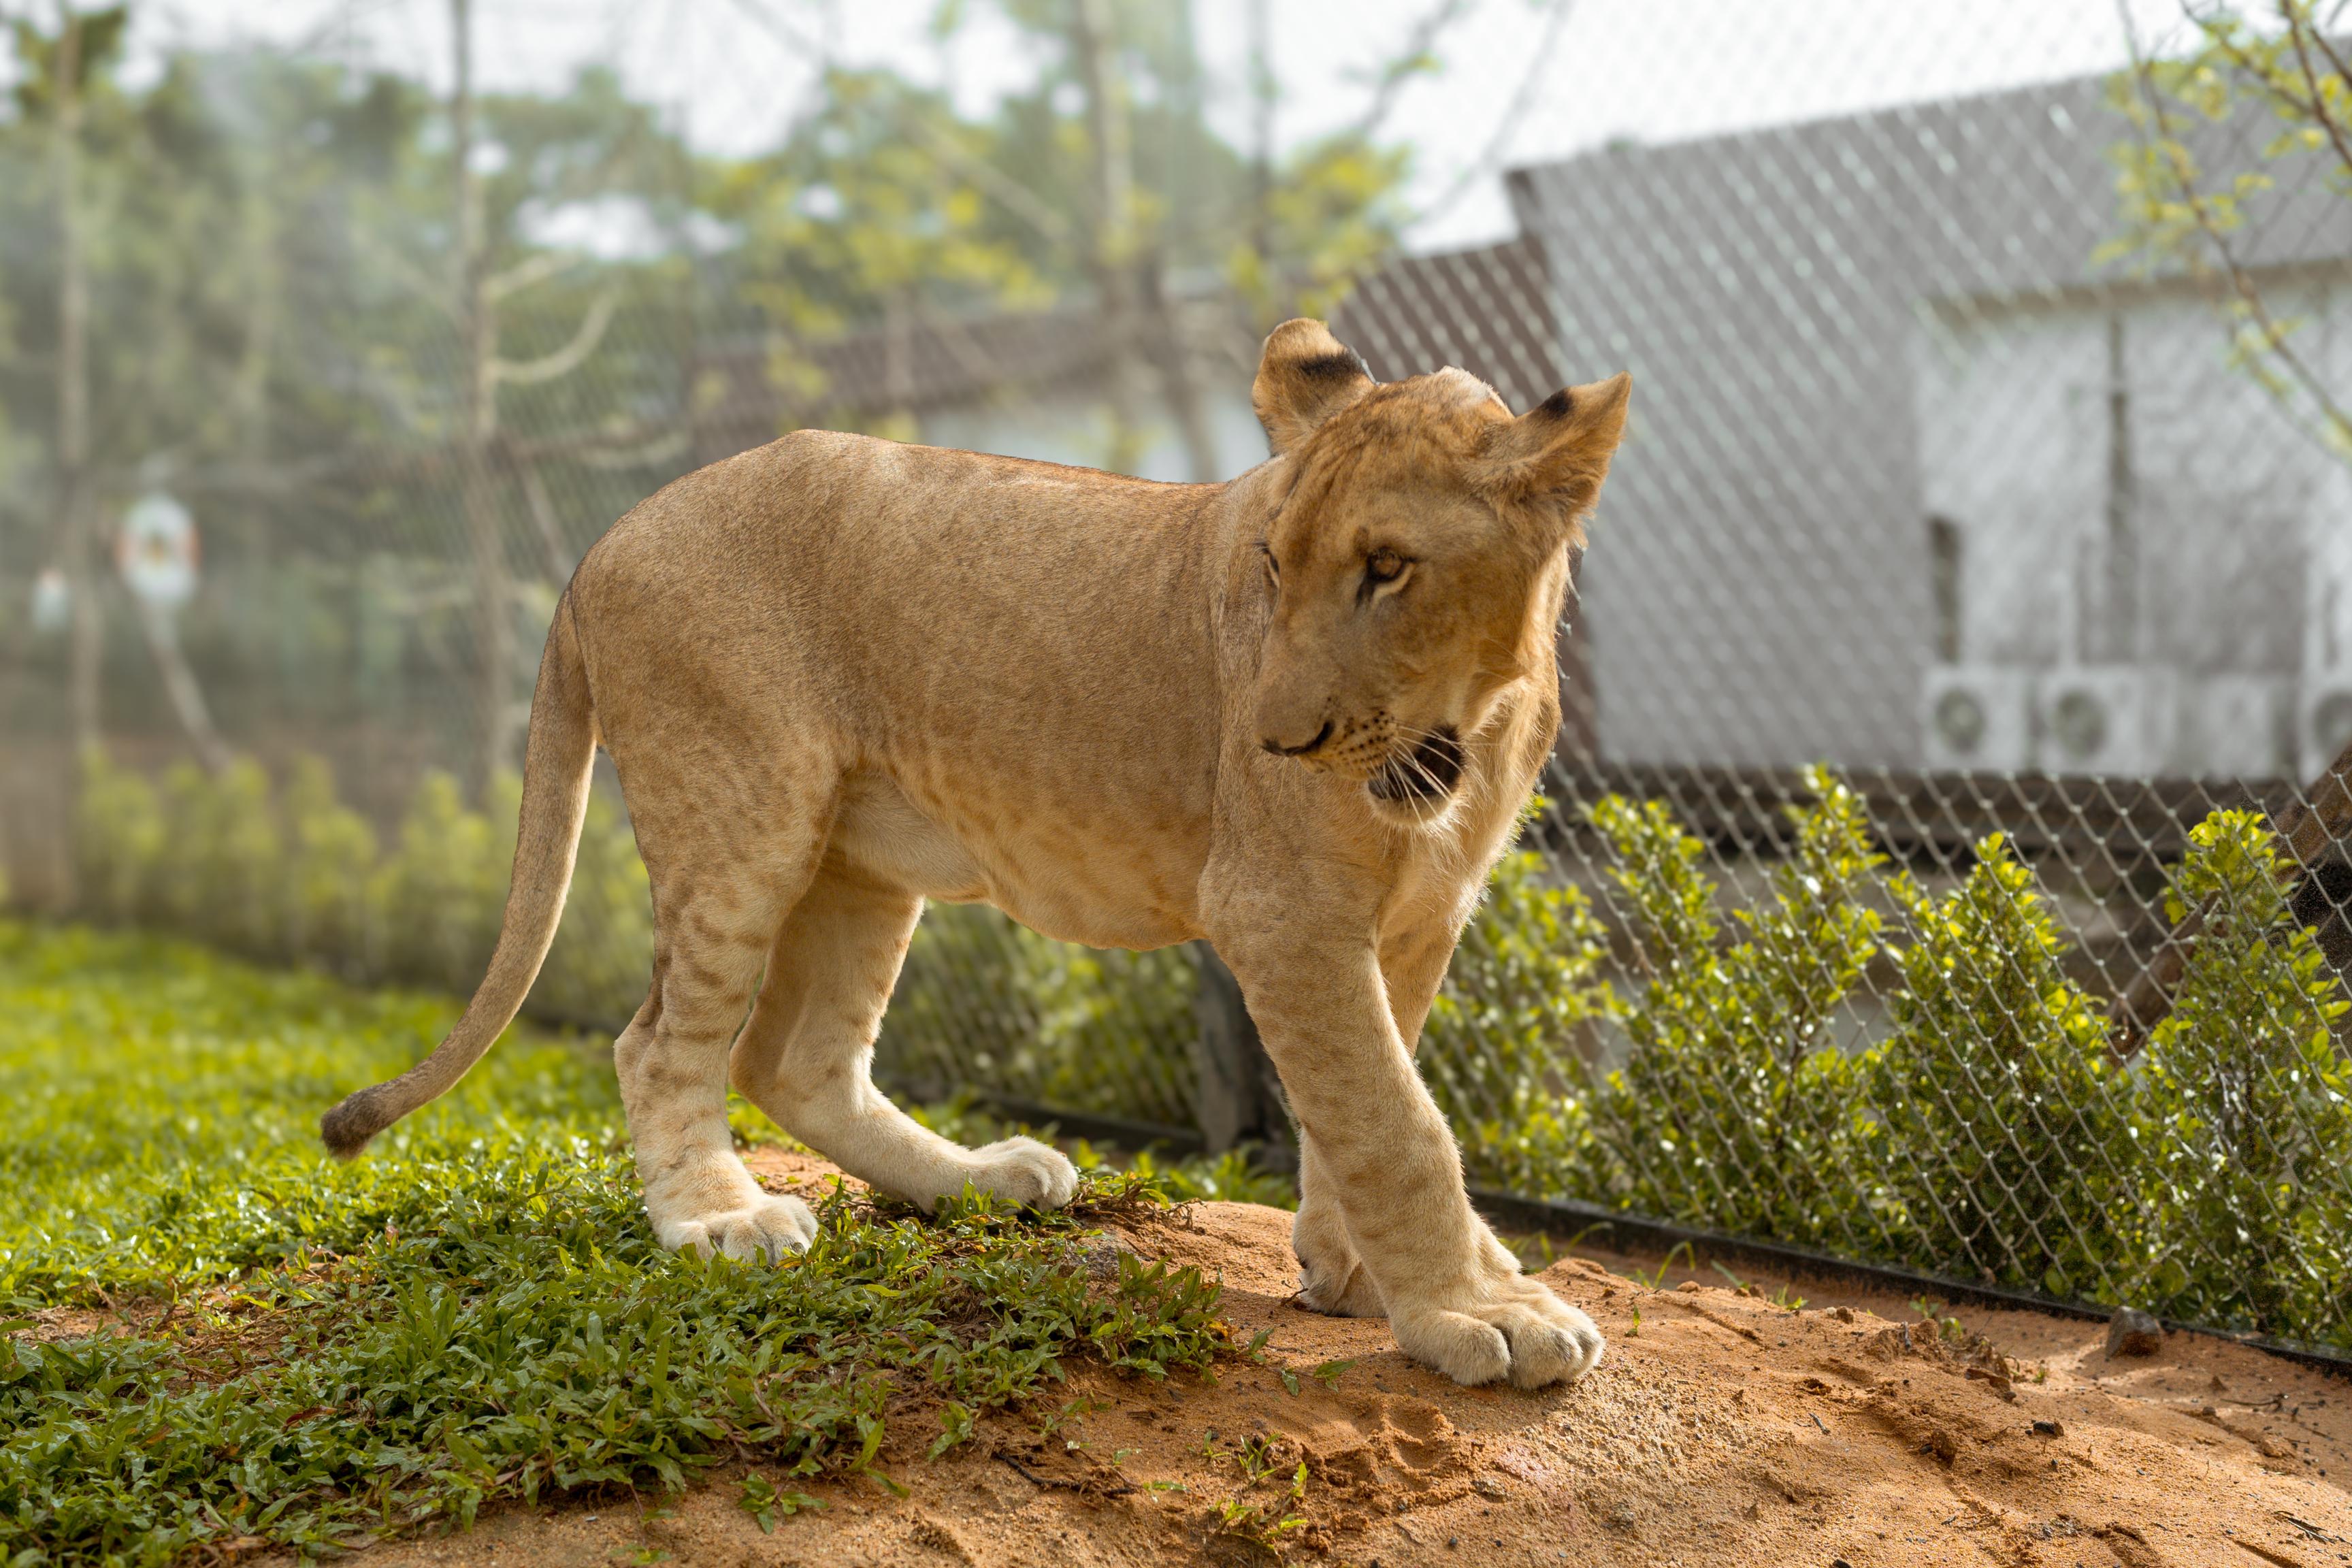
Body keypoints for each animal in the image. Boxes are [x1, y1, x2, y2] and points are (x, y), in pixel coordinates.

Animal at [321, 318, 1631, 1390]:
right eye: (1272, 566)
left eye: (1388, 568)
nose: (1272, 739)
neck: (1465, 727)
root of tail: (606, 538)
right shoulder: (1283, 912)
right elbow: (1396, 1121)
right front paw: (1477, 1311)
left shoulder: (1415, 918)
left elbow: (1359, 1097)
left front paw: (1355, 1270)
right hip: (742, 820)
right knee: (659, 1043)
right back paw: (719, 1220)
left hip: (858, 861)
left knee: (796, 1061)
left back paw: (980, 1180)